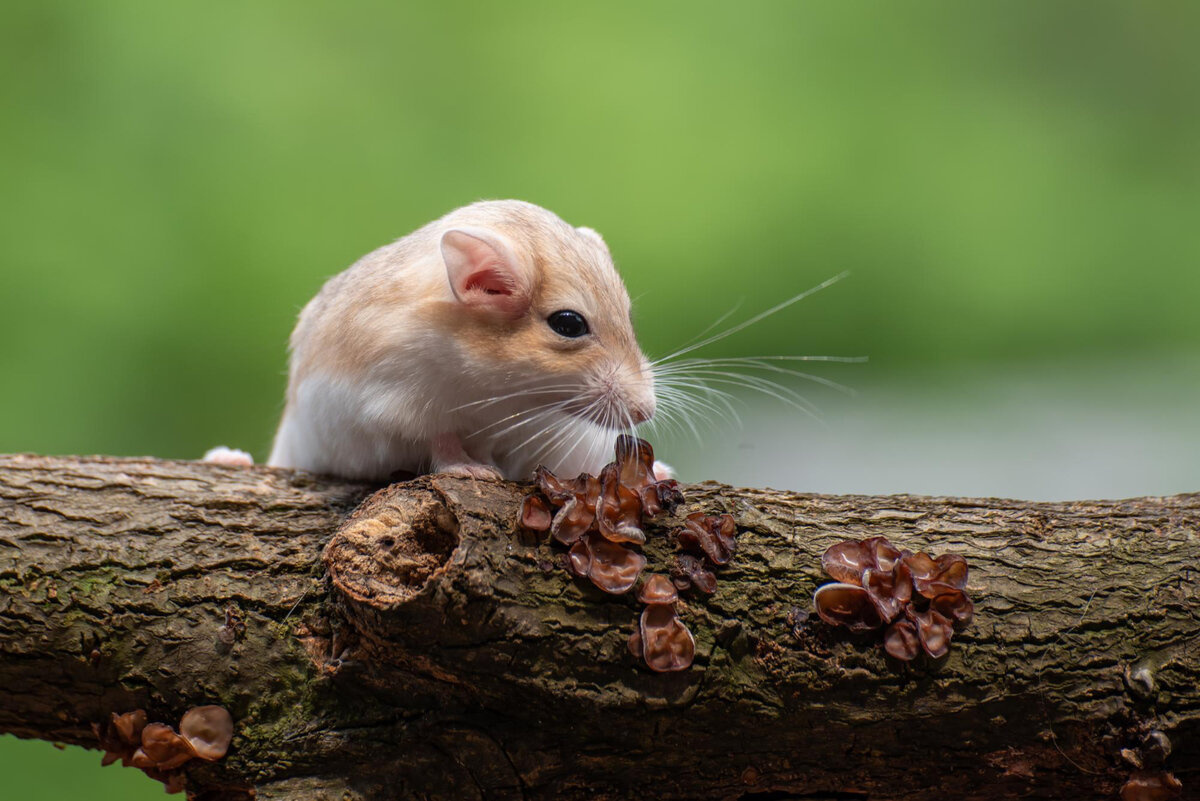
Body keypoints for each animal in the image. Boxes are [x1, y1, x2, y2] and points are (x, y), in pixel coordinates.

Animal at [266, 200, 657, 482]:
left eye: (628, 315)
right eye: (568, 324)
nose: (646, 412)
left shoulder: (493, 426)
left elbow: (482, 445)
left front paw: (486, 465)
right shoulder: (402, 408)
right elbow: (442, 443)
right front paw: (476, 472)